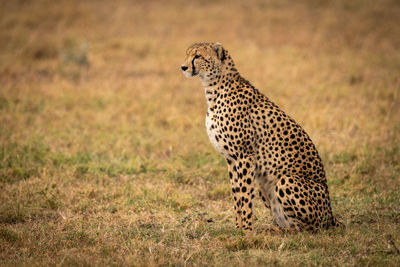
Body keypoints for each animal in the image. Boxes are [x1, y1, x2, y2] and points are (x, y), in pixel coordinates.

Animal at [181, 42, 344, 232]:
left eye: (197, 56)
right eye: (188, 54)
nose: (183, 67)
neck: (214, 88)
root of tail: (331, 215)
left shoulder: (244, 156)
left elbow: (244, 196)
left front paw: (246, 230)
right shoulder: (231, 159)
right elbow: (236, 195)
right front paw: (238, 228)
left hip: (286, 180)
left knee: (310, 228)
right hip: (264, 185)